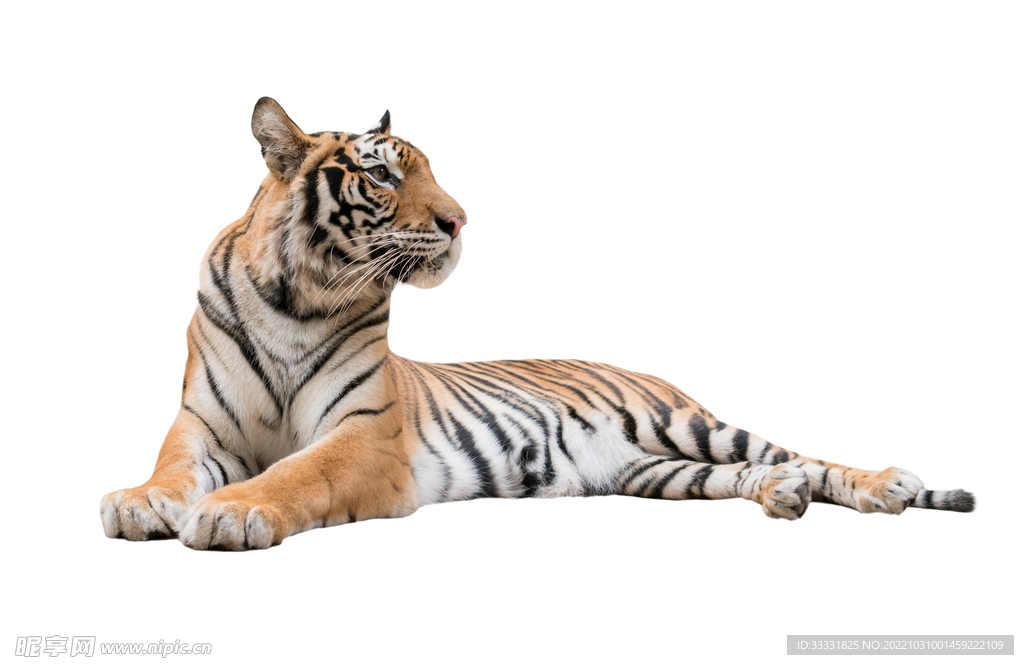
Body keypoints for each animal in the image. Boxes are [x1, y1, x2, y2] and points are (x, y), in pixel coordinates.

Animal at [100, 98, 975, 550]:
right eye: (383, 173)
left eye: (429, 168)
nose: (460, 219)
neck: (301, 293)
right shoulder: (200, 425)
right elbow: (170, 470)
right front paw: (140, 503)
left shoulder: (364, 434)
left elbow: (293, 473)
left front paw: (232, 510)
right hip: (652, 469)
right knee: (756, 472)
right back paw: (783, 497)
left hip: (688, 423)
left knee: (802, 453)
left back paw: (884, 484)